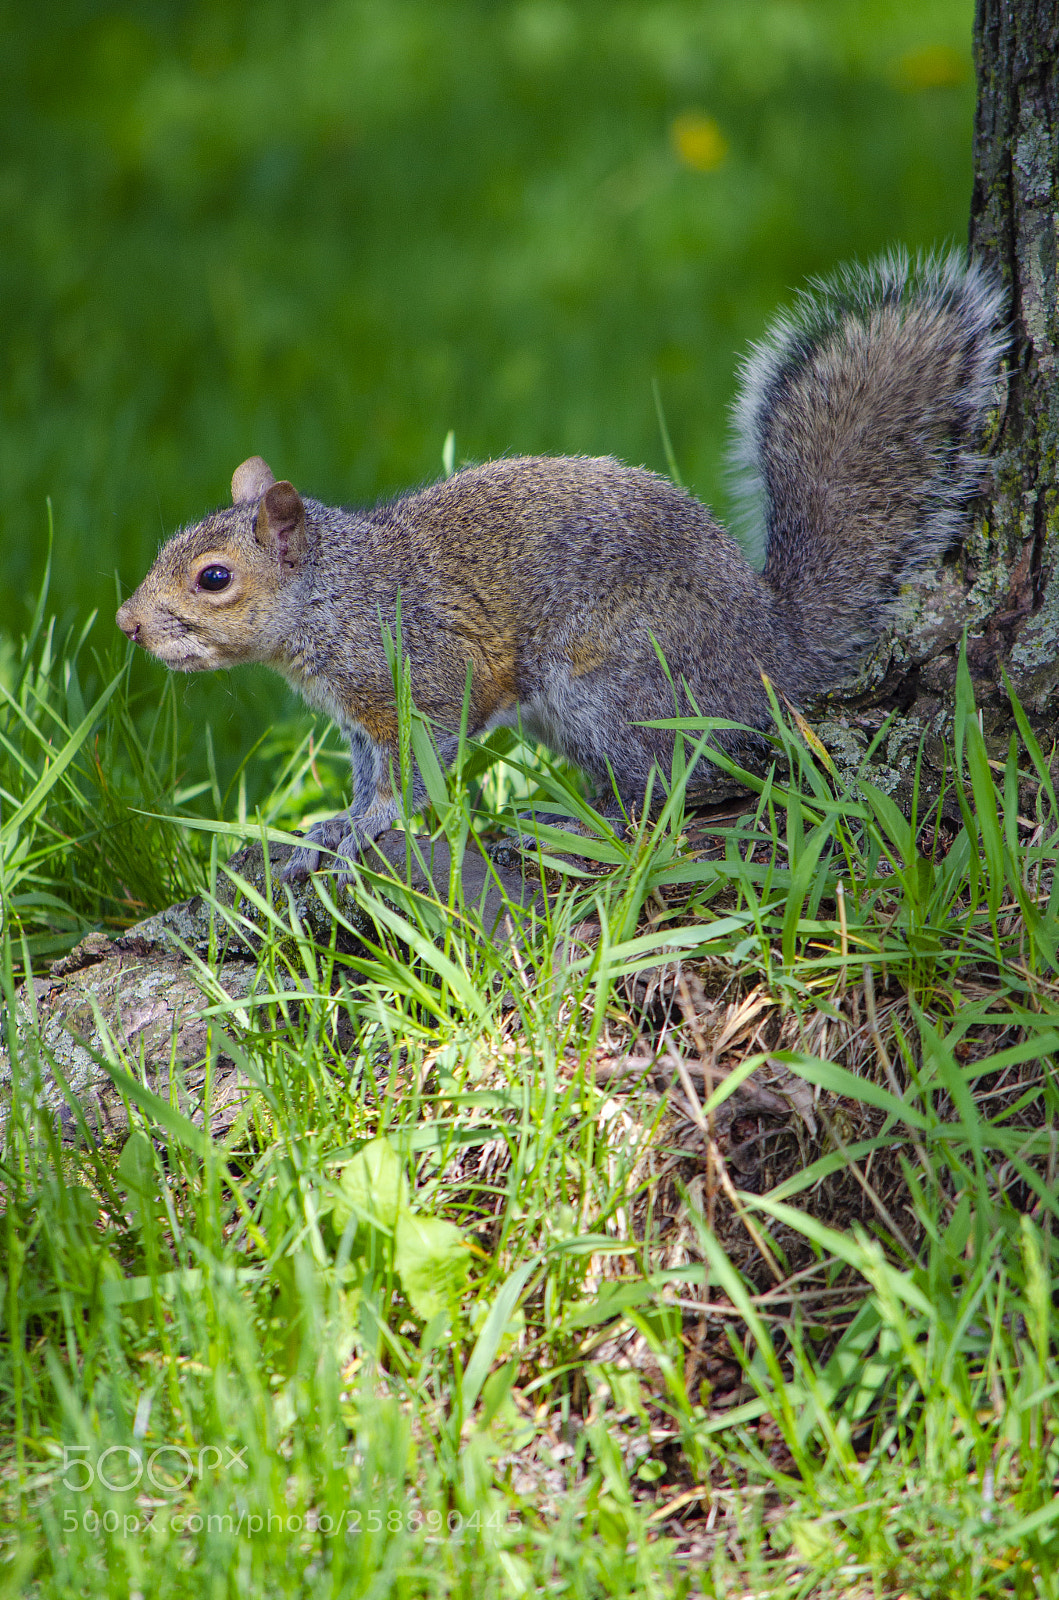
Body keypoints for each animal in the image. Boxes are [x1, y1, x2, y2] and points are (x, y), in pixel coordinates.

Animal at [116, 250, 1004, 881]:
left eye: (214, 578)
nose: (127, 623)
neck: (332, 594)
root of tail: (768, 647)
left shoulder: (425, 674)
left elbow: (412, 772)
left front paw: (369, 828)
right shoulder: (362, 716)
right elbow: (371, 773)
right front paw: (335, 823)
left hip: (615, 687)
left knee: (682, 782)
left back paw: (579, 821)